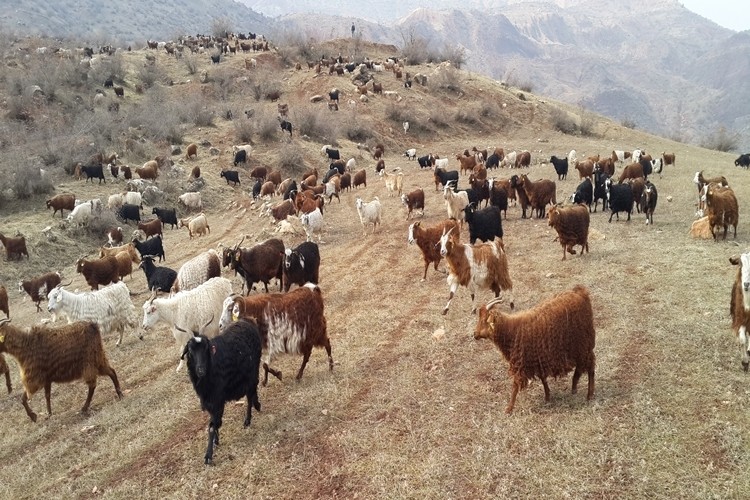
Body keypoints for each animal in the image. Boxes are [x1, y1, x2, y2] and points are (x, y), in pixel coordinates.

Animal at [476, 286, 600, 414]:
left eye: (484, 320)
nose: (475, 334)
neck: (511, 331)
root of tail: (580, 291)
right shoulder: (538, 358)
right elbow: (543, 378)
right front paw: (547, 397)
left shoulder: (520, 363)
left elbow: (515, 385)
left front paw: (509, 409)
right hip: (579, 347)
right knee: (581, 368)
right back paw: (574, 387)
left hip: (584, 344)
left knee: (590, 367)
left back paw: (589, 395)